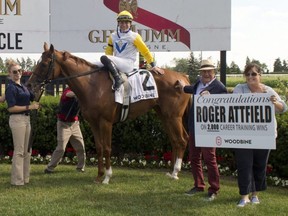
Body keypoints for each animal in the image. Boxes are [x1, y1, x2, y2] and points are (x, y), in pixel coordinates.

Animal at [28, 42, 191, 184]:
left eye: (44, 64)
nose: (30, 84)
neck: (92, 85)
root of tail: (183, 77)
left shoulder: (105, 122)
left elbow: (107, 148)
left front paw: (107, 177)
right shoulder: (93, 123)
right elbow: (99, 148)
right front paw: (99, 176)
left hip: (173, 117)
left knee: (181, 140)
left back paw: (175, 172)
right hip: (165, 116)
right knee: (175, 140)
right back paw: (171, 171)